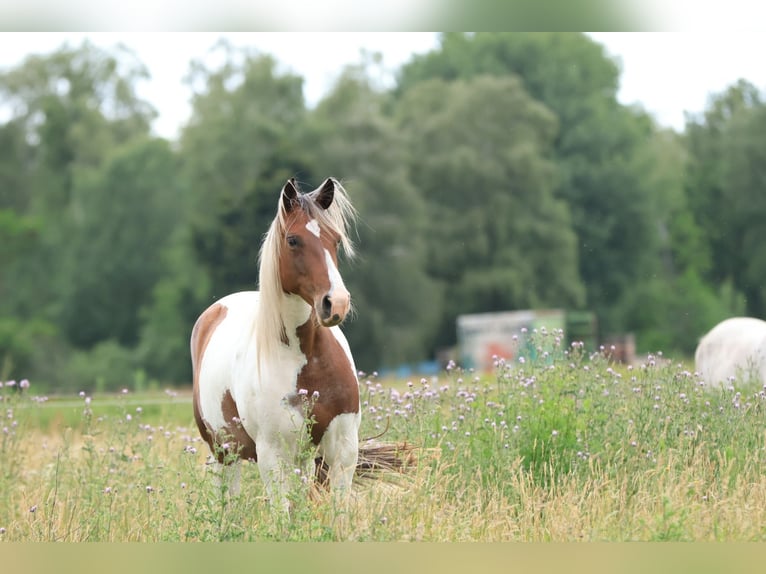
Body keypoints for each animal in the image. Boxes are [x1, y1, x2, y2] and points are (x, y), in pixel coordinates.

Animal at [190, 177, 360, 509]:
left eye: (335, 240)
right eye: (293, 240)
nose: (336, 303)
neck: (307, 357)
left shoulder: (343, 450)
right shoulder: (273, 454)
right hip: (222, 452)